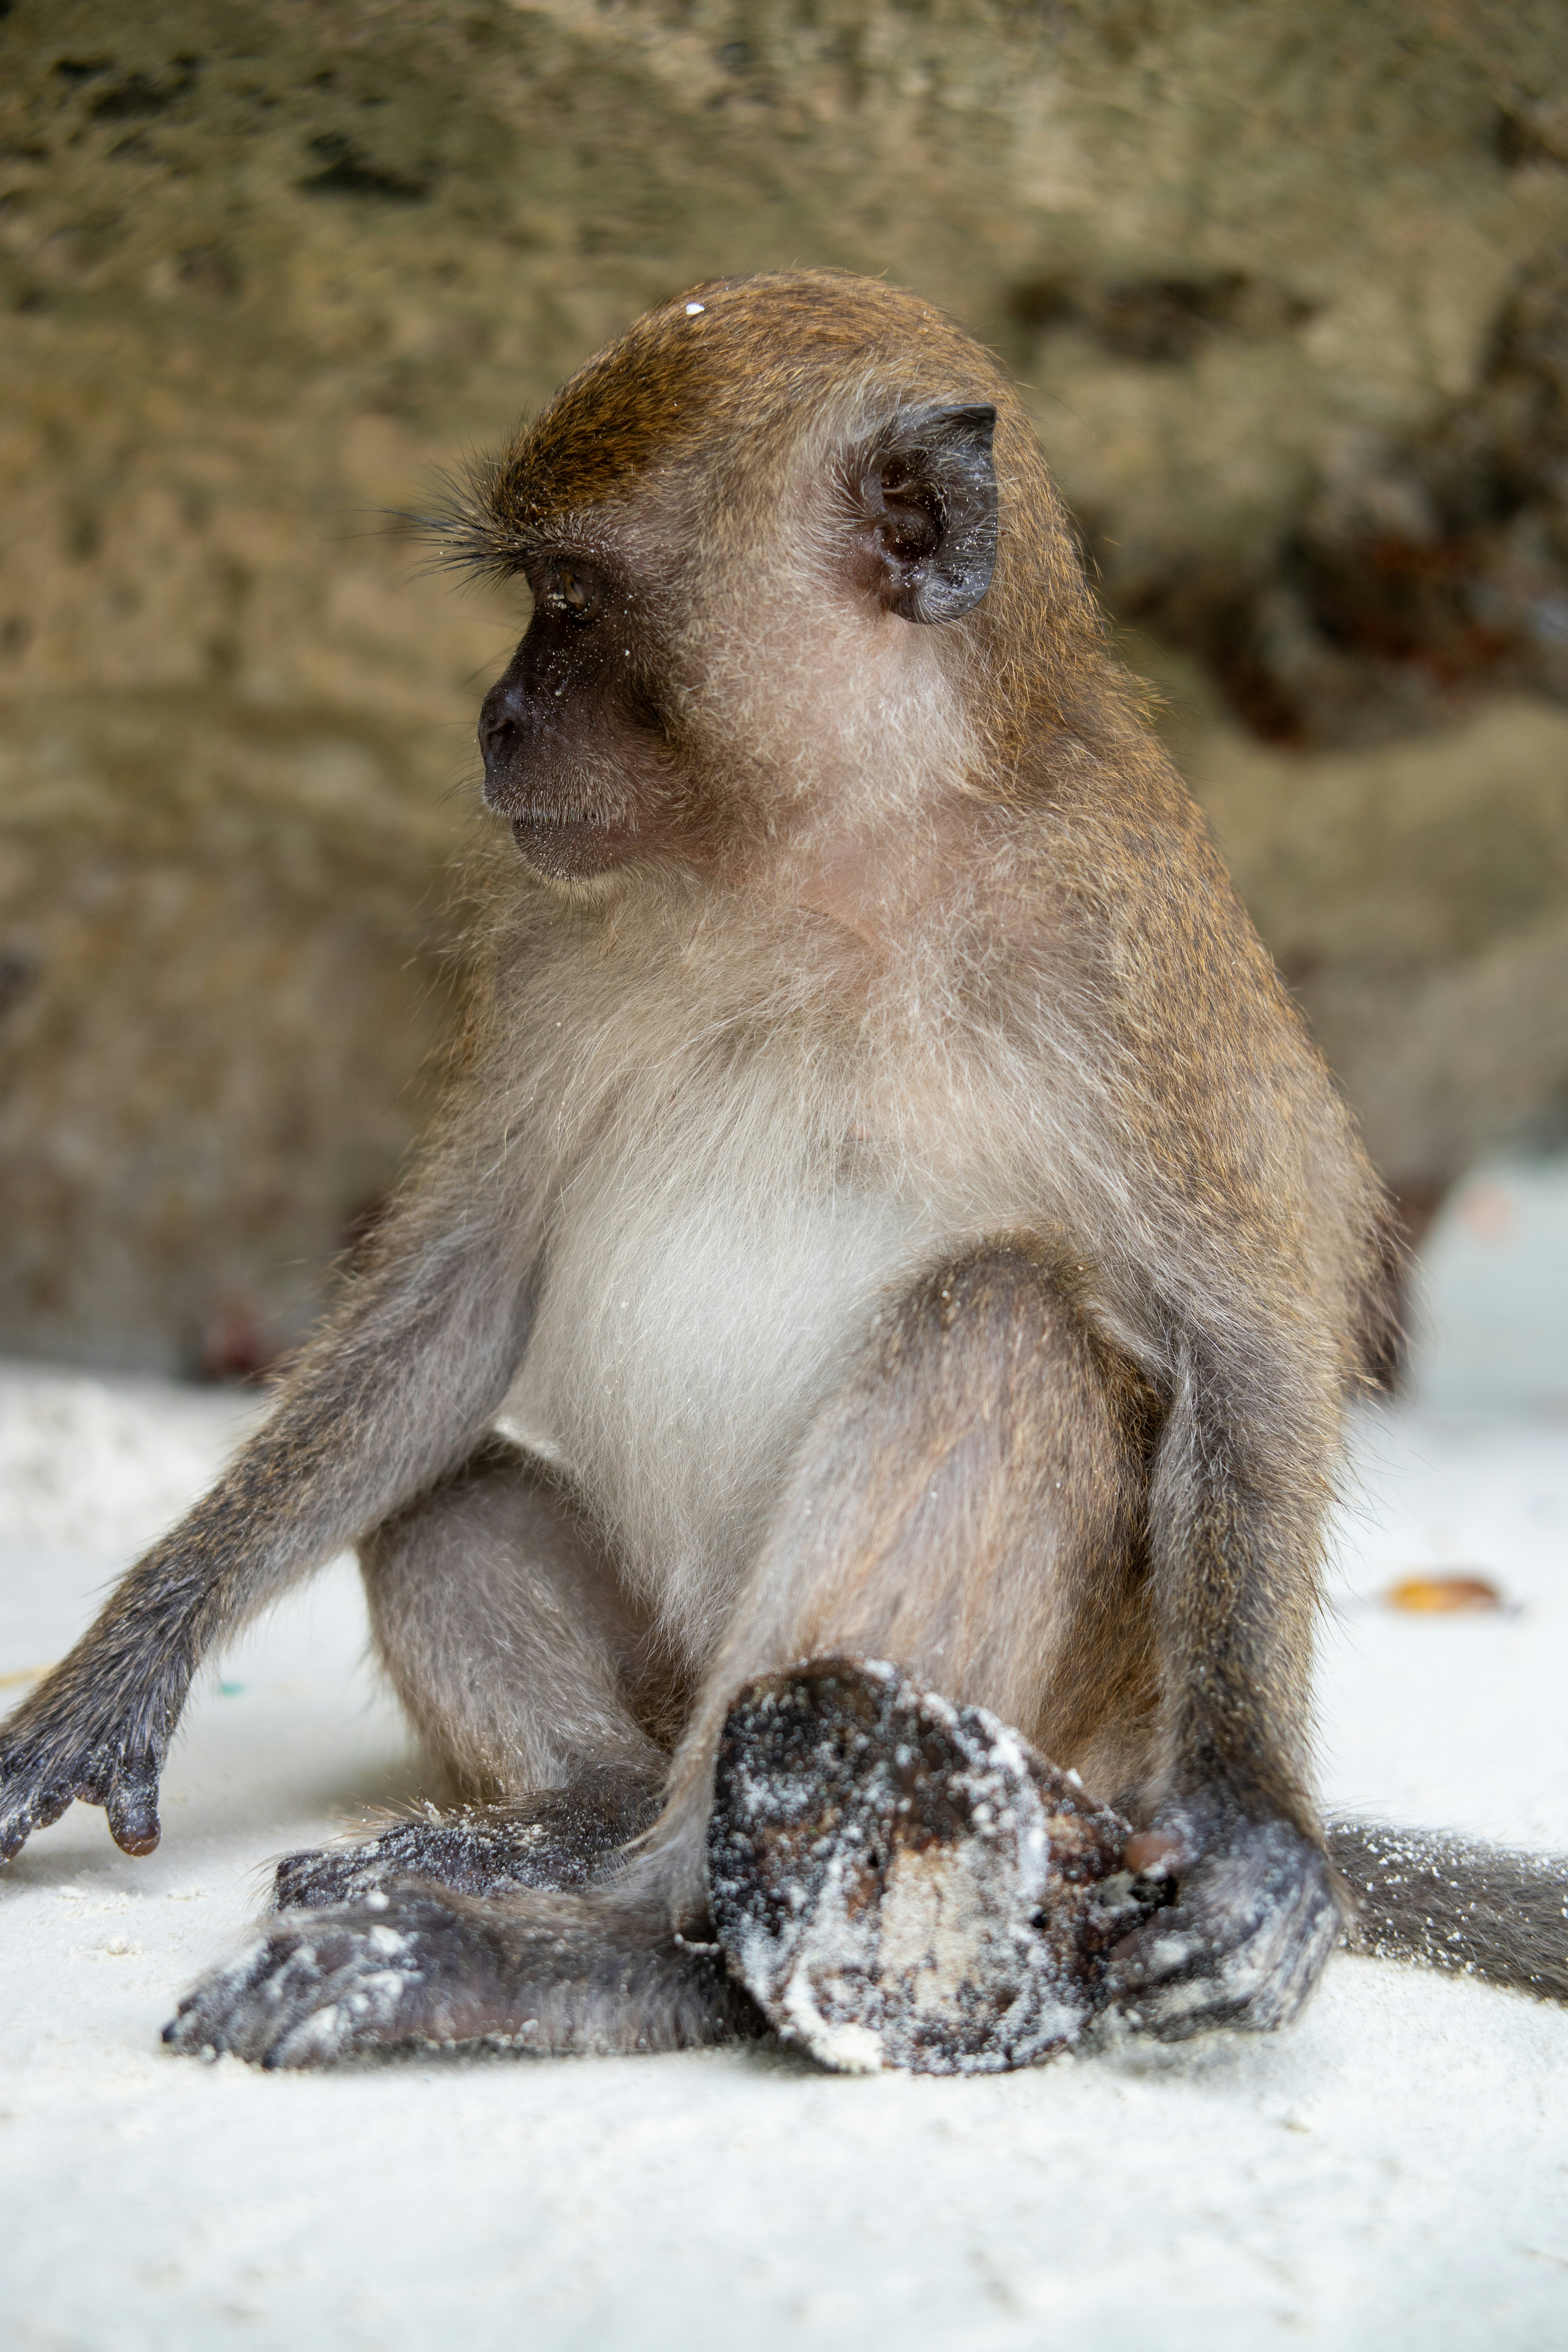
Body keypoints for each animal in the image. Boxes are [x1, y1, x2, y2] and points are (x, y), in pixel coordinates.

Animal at [2, 270, 1564, 2073]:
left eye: (568, 599)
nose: (495, 718)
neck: (833, 857)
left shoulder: (1125, 940)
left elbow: (1245, 1346)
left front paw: (1256, 1834)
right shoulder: (549, 936)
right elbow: (456, 1302)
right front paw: (125, 1661)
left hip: (1053, 1721)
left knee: (997, 1328)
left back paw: (609, 1947)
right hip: (693, 1670)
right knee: (444, 1490)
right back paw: (570, 1826)